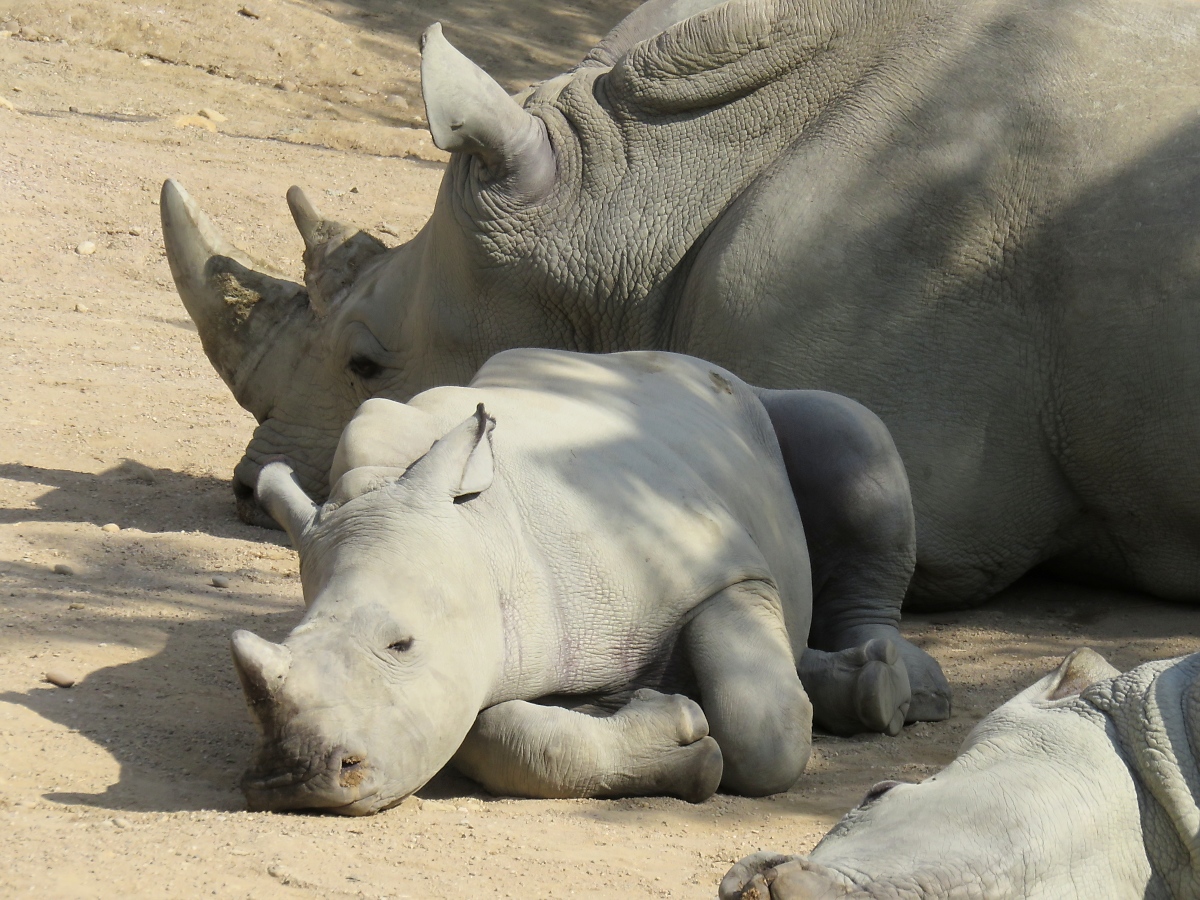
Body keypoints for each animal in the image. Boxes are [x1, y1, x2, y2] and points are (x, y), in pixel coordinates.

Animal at [231, 348, 945, 816]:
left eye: (401, 644)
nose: (291, 778)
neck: (481, 533)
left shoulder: (723, 574)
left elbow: (762, 727)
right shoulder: (461, 674)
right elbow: (507, 738)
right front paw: (671, 732)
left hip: (753, 412)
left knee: (850, 427)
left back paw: (898, 689)